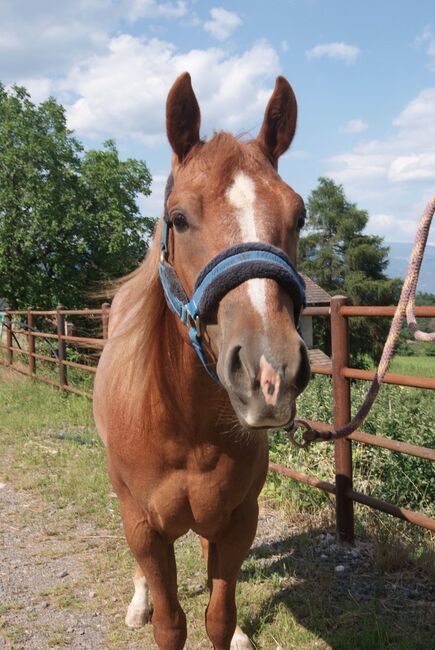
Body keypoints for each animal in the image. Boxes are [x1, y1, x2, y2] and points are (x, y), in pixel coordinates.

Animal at [94, 72, 314, 648]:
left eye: (299, 215)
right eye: (179, 218)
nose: (269, 372)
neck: (184, 425)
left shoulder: (238, 519)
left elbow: (220, 614)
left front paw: (233, 633)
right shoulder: (144, 527)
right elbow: (171, 625)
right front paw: (149, 607)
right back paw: (138, 602)